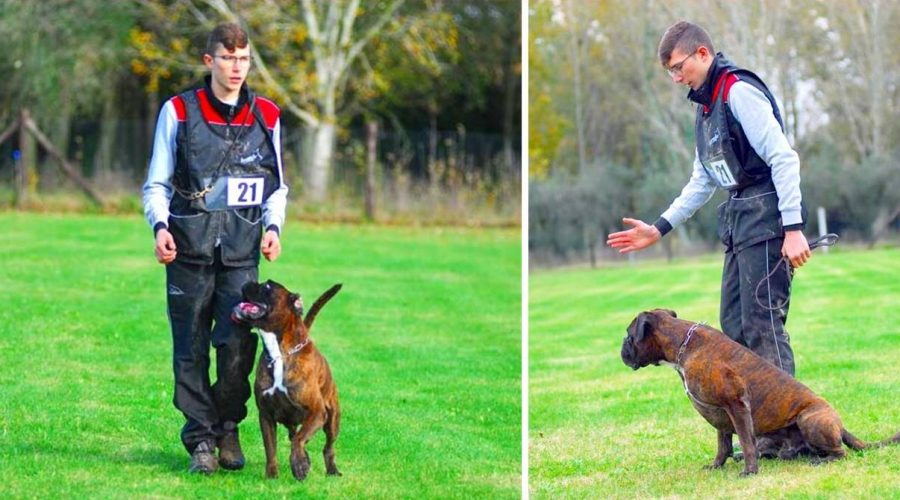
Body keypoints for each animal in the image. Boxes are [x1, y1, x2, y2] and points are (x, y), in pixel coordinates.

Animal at [230, 282, 342, 480]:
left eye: (267, 286)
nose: (249, 282)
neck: (279, 353)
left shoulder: (317, 412)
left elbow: (299, 439)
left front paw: (298, 465)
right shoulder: (266, 416)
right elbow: (271, 448)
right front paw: (272, 475)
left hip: (332, 419)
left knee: (326, 446)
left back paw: (331, 470)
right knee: (294, 434)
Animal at [624, 308, 896, 476]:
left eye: (628, 336)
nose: (622, 349)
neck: (684, 345)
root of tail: (840, 425)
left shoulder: (736, 405)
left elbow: (746, 442)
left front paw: (750, 471)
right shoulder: (721, 417)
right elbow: (723, 446)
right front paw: (717, 466)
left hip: (810, 419)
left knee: (841, 452)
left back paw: (821, 460)